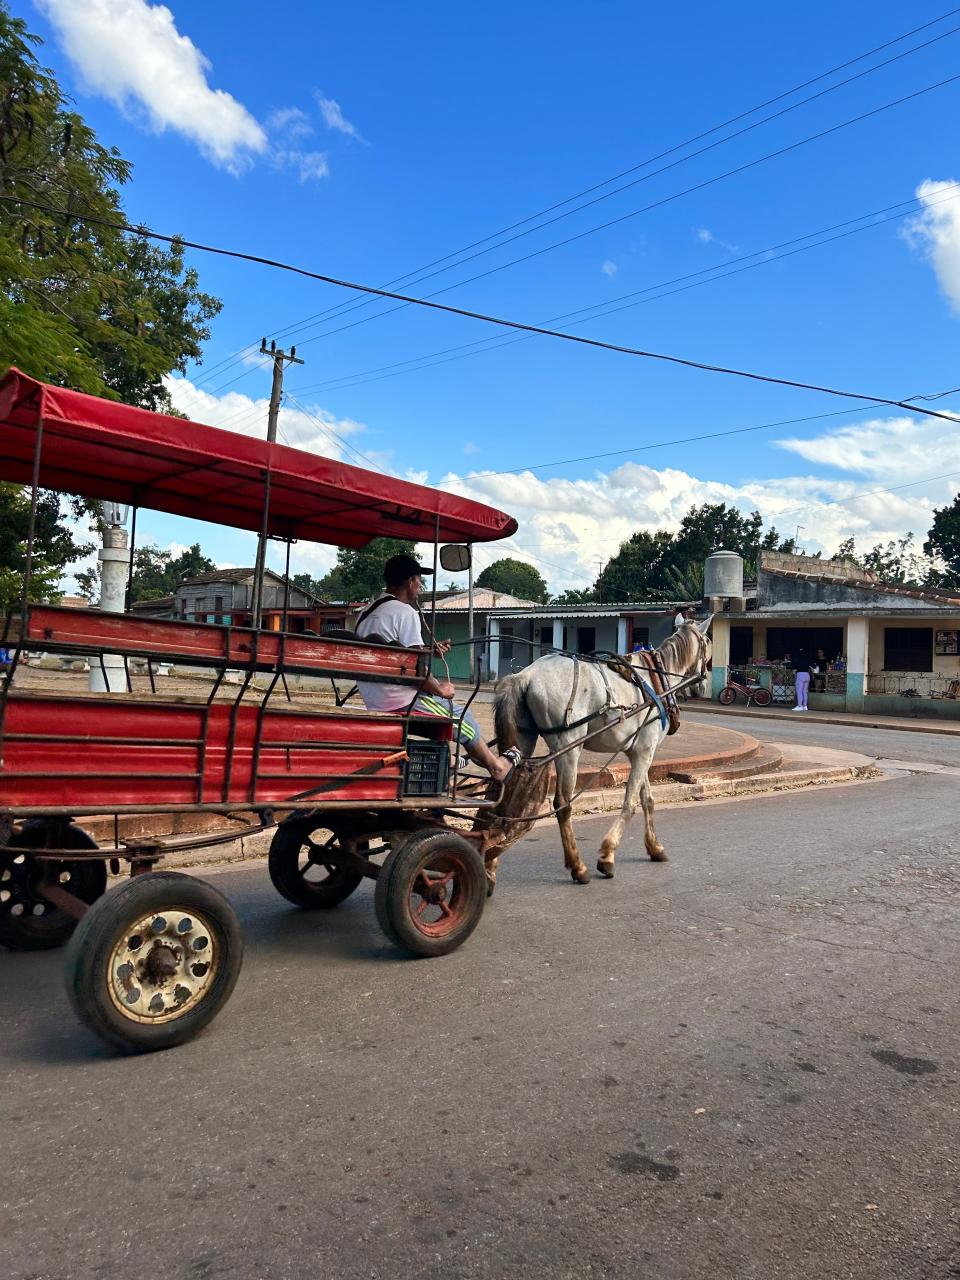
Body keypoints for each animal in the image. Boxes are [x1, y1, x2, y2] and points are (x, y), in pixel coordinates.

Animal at [491, 616, 711, 880]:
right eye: (708, 642)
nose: (703, 685)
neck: (656, 682)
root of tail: (525, 676)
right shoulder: (645, 751)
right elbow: (630, 803)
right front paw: (607, 855)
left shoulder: (639, 752)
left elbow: (647, 800)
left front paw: (655, 847)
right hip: (568, 748)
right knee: (563, 805)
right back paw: (577, 866)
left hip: (523, 742)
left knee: (505, 796)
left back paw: (490, 861)